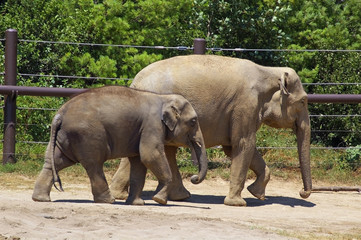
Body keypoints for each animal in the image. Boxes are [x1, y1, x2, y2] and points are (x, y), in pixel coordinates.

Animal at [32, 85, 207, 205]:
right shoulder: (151, 125)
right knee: (94, 164)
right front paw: (159, 200)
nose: (193, 177)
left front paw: (137, 204)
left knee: (55, 161)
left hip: (63, 137)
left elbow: (139, 162)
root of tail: (59, 114)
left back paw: (41, 199)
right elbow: (150, 155)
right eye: (193, 121)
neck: (163, 97)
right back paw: (108, 201)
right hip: (87, 135)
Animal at [111, 54, 310, 206]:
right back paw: (121, 195)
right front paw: (237, 203)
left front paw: (257, 194)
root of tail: (135, 81)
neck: (269, 71)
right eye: (303, 101)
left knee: (167, 149)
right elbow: (243, 143)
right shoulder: (246, 104)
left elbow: (234, 147)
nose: (302, 192)